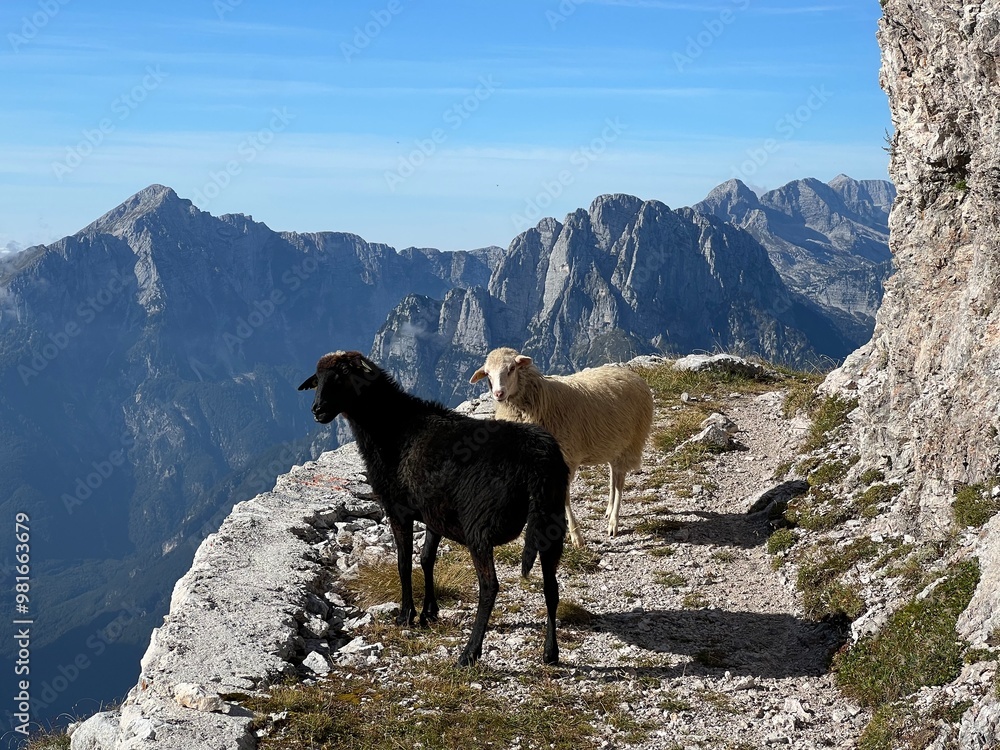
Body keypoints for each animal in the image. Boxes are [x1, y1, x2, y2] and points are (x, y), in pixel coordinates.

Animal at [299, 350, 568, 666]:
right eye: (318, 380)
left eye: (342, 375)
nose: (317, 410)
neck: (390, 428)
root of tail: (538, 461)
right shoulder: (434, 513)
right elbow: (427, 559)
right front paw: (430, 611)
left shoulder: (398, 509)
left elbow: (404, 563)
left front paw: (406, 614)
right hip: (552, 520)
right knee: (551, 587)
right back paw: (550, 653)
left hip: (479, 528)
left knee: (490, 587)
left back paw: (469, 653)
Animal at [470, 347, 654, 547]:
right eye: (488, 374)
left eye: (511, 368)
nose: (498, 393)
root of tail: (633, 375)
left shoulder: (565, 458)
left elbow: (563, 498)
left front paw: (576, 536)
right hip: (613, 444)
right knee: (614, 474)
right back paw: (609, 509)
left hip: (631, 442)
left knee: (620, 482)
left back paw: (613, 522)